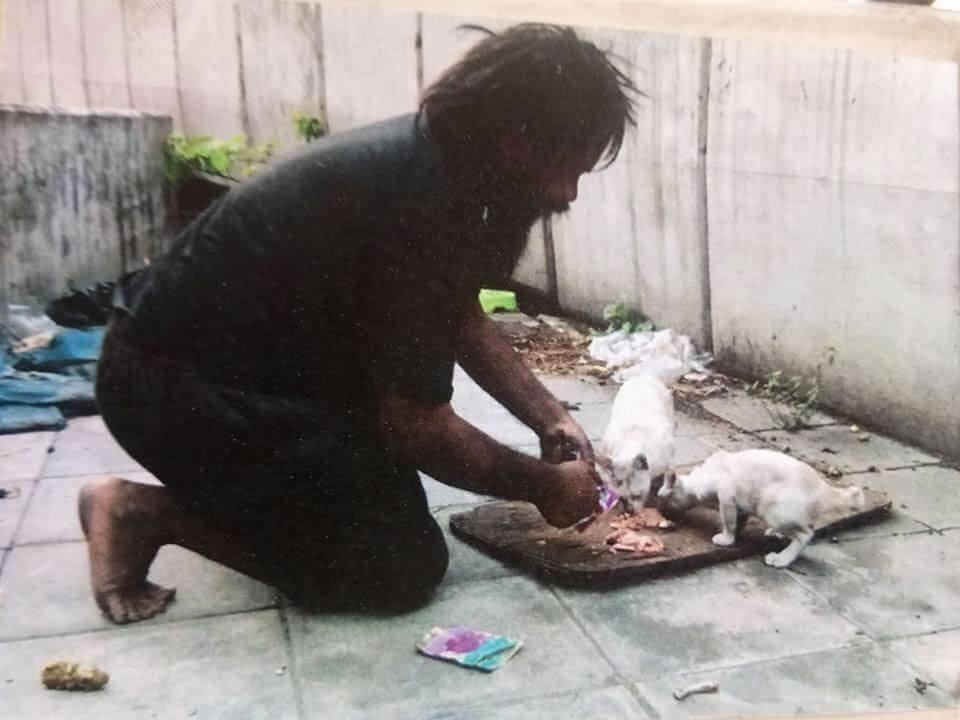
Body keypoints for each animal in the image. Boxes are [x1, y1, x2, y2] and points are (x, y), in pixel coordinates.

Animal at [600, 374, 676, 510]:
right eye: (622, 499)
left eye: (636, 496)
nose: (630, 509)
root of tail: (644, 375)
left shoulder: (669, 457)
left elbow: (670, 472)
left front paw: (664, 491)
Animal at [656, 450, 868, 568]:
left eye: (661, 500)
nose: (661, 511)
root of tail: (822, 486)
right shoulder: (741, 505)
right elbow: (737, 522)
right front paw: (735, 536)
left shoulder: (727, 497)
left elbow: (728, 522)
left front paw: (726, 539)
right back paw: (775, 533)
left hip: (771, 508)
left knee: (806, 534)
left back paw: (781, 559)